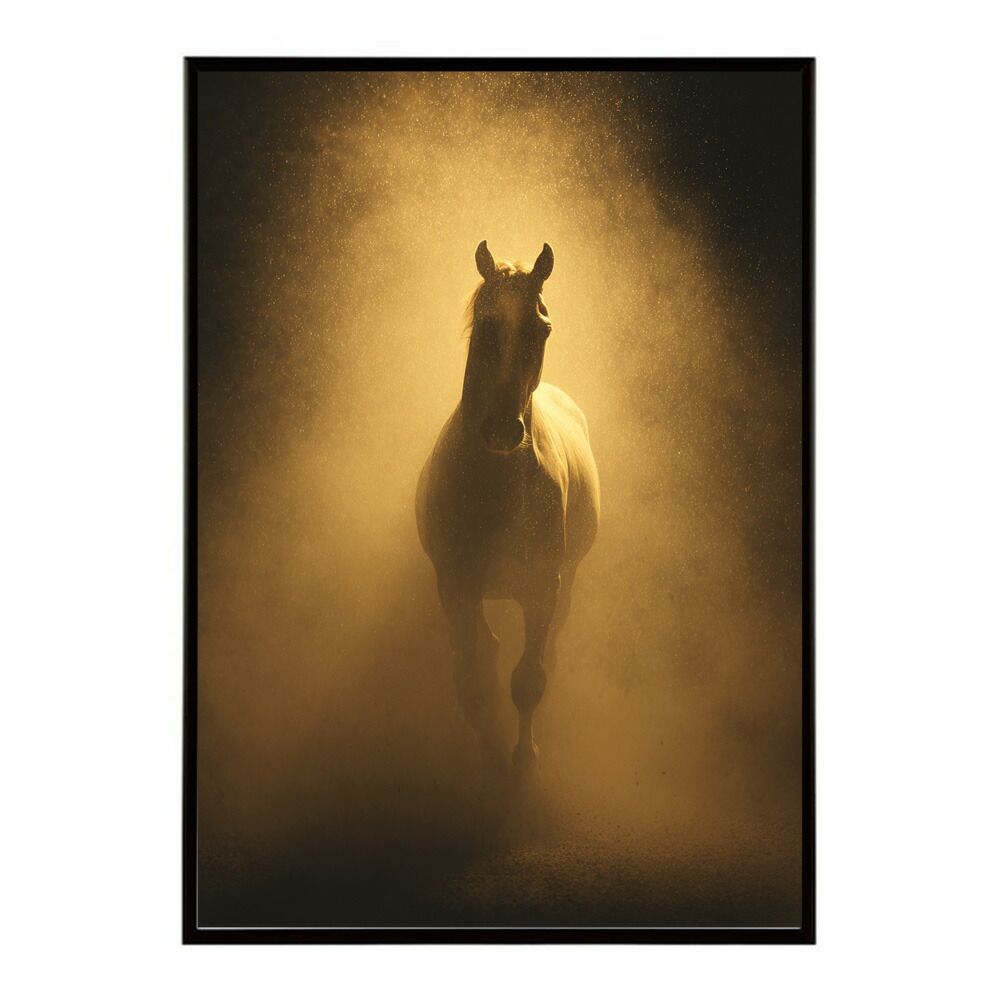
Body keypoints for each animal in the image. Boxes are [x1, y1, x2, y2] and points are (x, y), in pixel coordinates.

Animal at [416, 241, 600, 783]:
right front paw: (489, 751)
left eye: (542, 328)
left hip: (565, 579)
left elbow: (528, 679)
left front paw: (521, 760)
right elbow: (474, 680)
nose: (500, 430)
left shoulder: (541, 588)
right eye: (485, 322)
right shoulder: (456, 586)